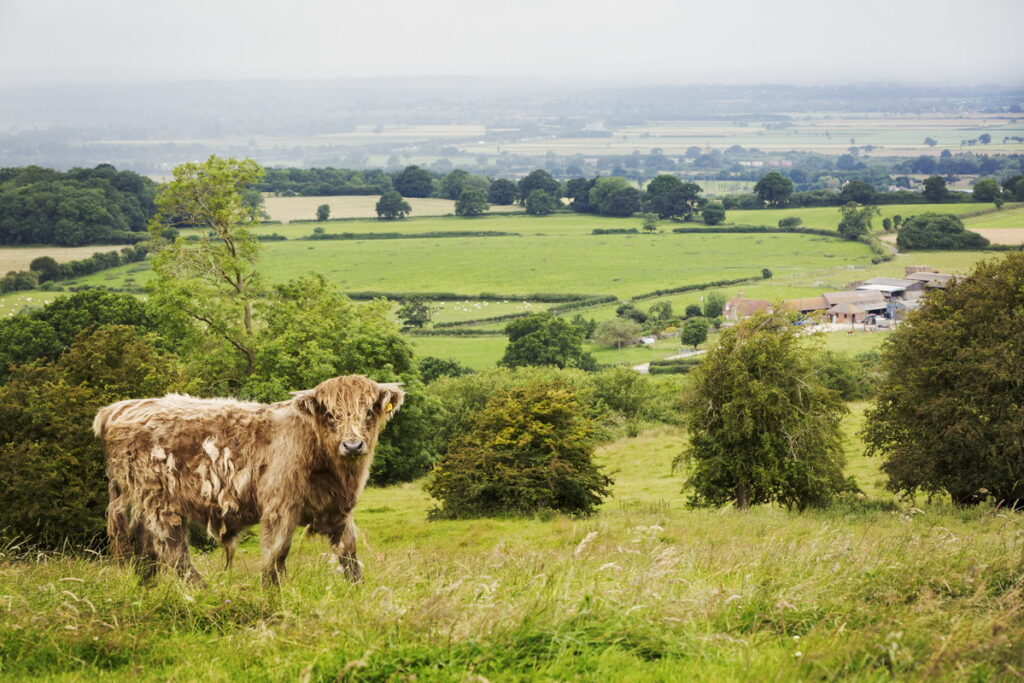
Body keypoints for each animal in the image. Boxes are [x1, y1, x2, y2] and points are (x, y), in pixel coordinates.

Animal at [93, 374, 403, 589]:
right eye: (329, 414)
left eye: (369, 412)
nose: (352, 445)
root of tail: (118, 408)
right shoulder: (280, 506)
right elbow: (276, 553)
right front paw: (271, 593)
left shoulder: (338, 509)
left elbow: (349, 553)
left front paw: (358, 592)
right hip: (158, 501)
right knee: (172, 549)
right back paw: (203, 590)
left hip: (142, 504)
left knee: (145, 549)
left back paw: (149, 588)